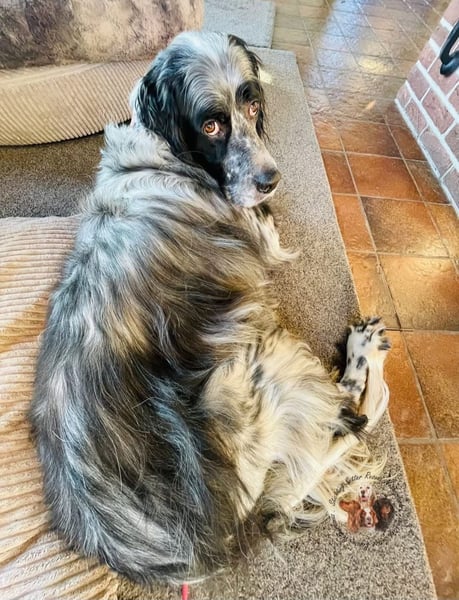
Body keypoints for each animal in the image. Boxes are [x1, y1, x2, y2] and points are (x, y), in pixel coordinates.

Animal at [30, 31, 390, 585]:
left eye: (253, 105)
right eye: (211, 125)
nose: (271, 179)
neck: (164, 154)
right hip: (258, 367)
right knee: (349, 416)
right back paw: (363, 354)